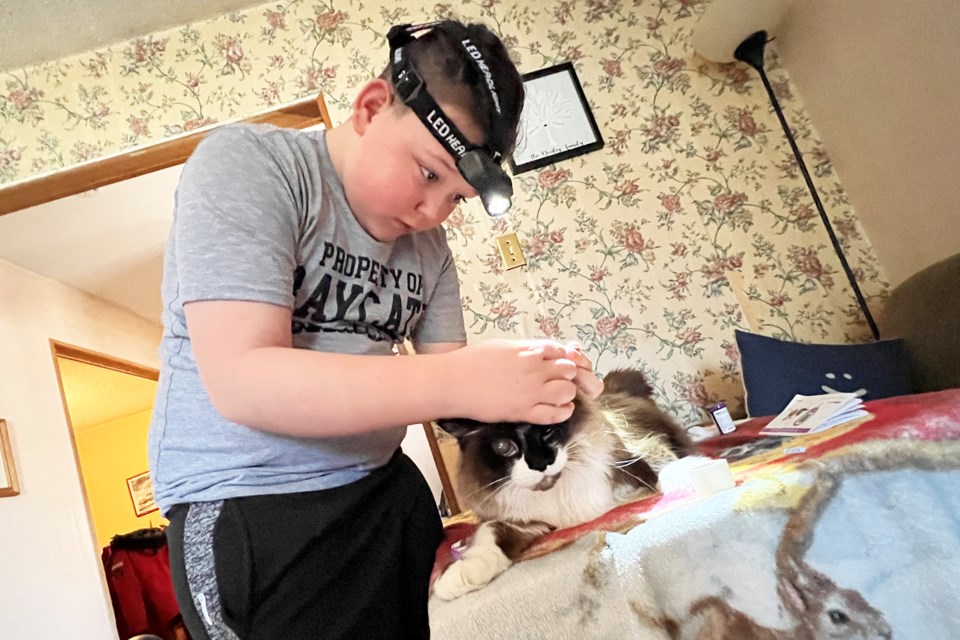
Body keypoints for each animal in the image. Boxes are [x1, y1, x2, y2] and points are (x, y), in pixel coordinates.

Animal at [432, 368, 692, 604]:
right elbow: (490, 534)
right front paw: (455, 579)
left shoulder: (636, 458)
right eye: (504, 447)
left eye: (547, 430)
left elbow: (664, 472)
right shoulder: (526, 522)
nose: (541, 463)